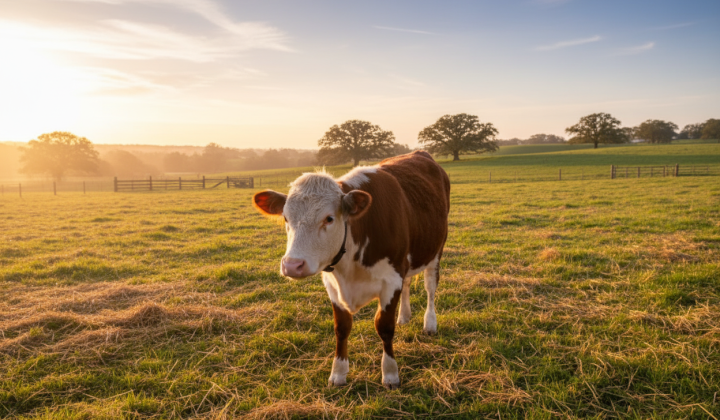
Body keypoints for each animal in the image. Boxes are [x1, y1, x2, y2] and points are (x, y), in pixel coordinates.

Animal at [252, 151, 450, 389]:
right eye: (285, 218)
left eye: (329, 218)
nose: (292, 265)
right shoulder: (332, 284)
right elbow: (342, 328)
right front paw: (338, 372)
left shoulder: (392, 279)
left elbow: (384, 327)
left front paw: (390, 374)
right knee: (409, 282)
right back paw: (404, 316)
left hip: (436, 250)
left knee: (430, 287)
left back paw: (430, 323)